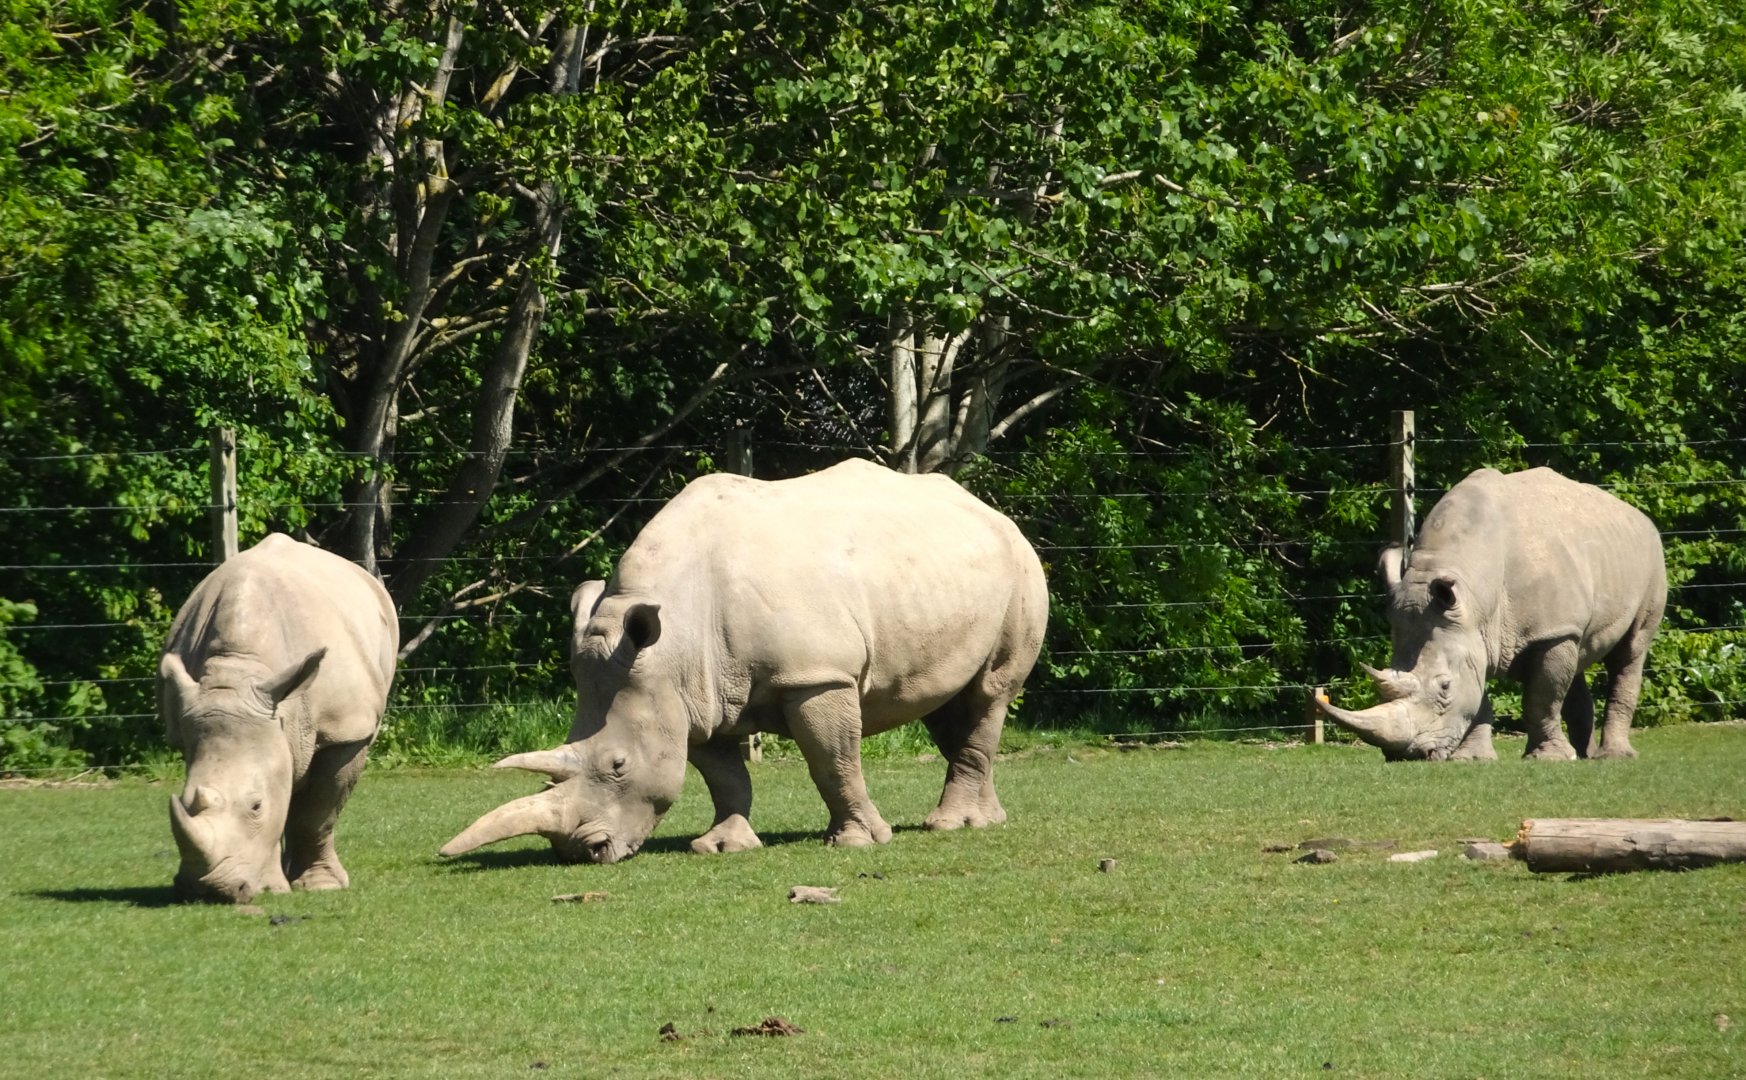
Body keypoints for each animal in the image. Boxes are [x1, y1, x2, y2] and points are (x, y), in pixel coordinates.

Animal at [160, 533, 398, 902]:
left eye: (256, 806)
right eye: (183, 801)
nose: (209, 889)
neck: (238, 671)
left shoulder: (346, 729)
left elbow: (317, 814)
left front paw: (320, 886)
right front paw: (274, 885)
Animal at [440, 458, 1048, 864]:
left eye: (617, 765)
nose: (581, 853)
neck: (672, 640)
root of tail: (993, 512)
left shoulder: (816, 676)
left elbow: (833, 760)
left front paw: (855, 843)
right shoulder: (692, 696)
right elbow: (724, 776)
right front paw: (721, 847)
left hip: (1023, 566)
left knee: (989, 693)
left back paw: (951, 827)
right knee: (950, 708)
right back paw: (984, 821)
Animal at [1315, 467, 1665, 761]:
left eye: (1444, 687)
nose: (1408, 756)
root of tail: (1636, 514)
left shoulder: (1541, 631)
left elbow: (1541, 698)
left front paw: (1547, 759)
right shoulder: (1469, 632)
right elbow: (1481, 696)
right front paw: (1472, 759)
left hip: (1650, 558)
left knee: (1630, 652)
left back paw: (1613, 757)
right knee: (1576, 659)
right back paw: (1585, 755)